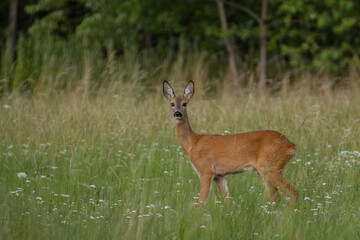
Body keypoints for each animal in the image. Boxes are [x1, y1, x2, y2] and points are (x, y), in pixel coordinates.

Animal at [163, 79, 298, 207]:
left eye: (185, 103)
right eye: (172, 103)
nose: (177, 113)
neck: (193, 143)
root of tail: (291, 145)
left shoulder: (206, 170)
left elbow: (202, 202)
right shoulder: (219, 176)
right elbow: (227, 201)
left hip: (270, 167)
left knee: (293, 192)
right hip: (267, 171)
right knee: (276, 198)